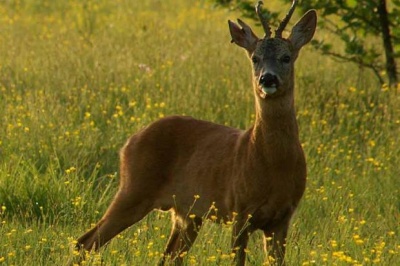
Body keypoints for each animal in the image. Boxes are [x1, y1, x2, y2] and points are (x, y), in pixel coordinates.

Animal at [76, 1, 316, 264]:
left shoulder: (283, 217)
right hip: (133, 189)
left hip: (186, 213)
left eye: (286, 57)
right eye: (255, 58)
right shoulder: (239, 209)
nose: (267, 78)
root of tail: (129, 142)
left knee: (168, 257)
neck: (273, 164)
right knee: (85, 242)